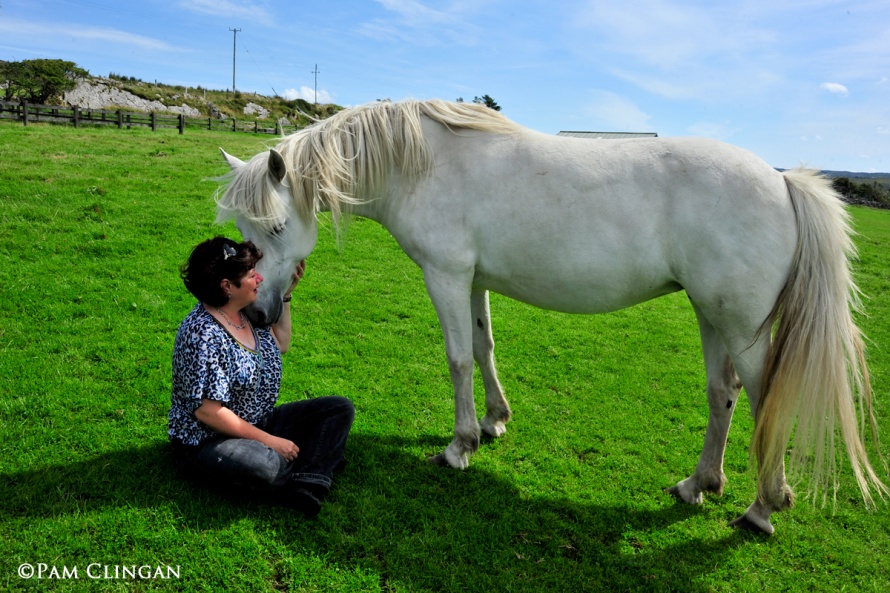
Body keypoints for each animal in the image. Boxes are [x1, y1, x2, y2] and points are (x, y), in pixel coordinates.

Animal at [213, 97, 880, 532]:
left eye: (276, 227)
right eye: (244, 232)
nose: (262, 314)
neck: (424, 163)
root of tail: (781, 180)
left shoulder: (446, 276)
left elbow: (458, 359)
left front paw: (458, 447)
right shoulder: (473, 281)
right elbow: (483, 348)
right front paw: (493, 422)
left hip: (740, 325)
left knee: (767, 400)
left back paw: (763, 508)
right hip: (711, 314)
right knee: (724, 394)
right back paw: (698, 485)